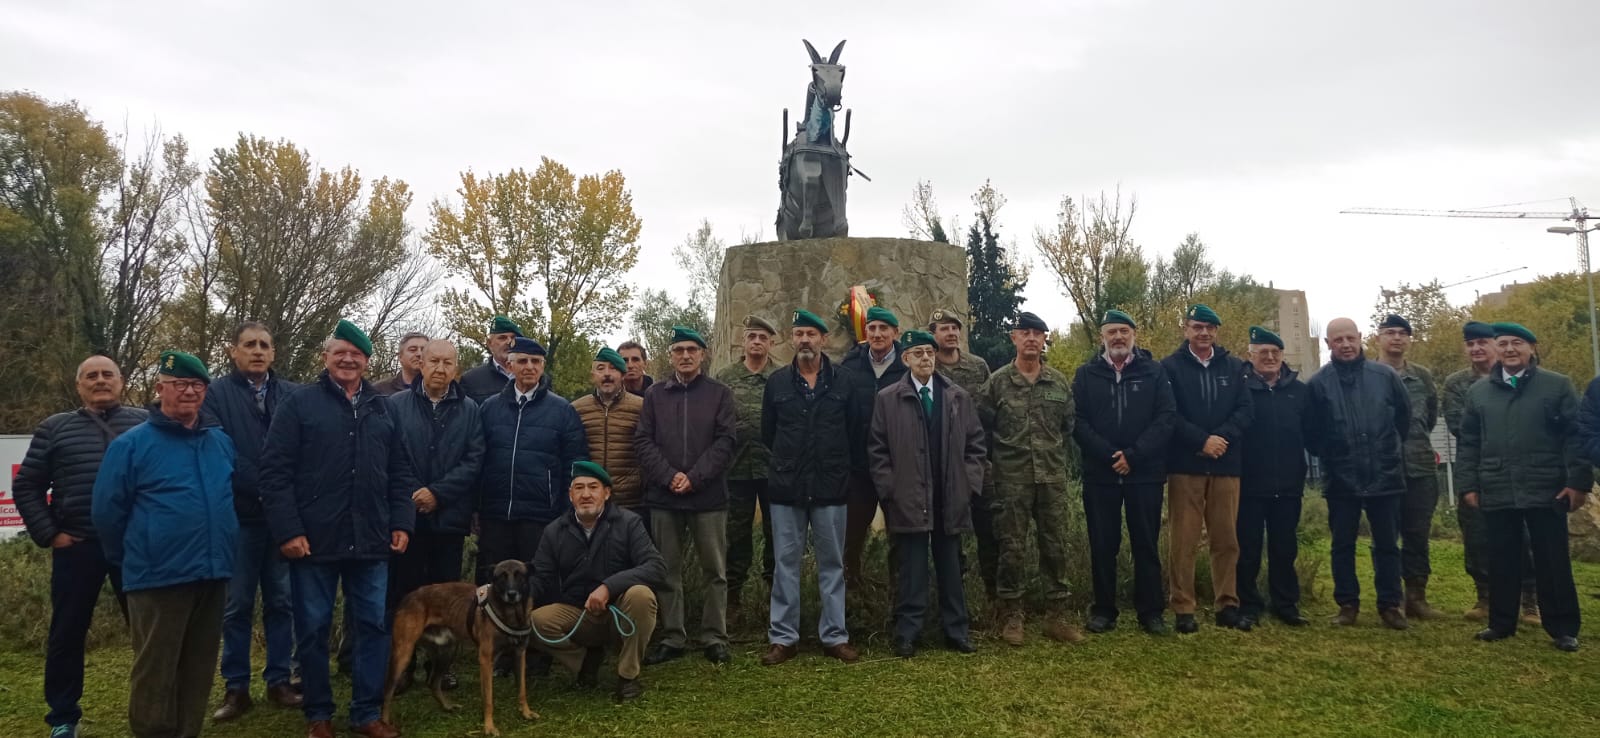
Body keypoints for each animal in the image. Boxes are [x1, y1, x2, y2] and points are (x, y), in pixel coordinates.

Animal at [380, 560, 537, 733]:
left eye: (519, 575)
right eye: (501, 577)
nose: (512, 594)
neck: (511, 614)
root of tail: (407, 597)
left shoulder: (520, 655)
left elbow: (522, 689)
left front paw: (526, 713)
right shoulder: (486, 660)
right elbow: (488, 699)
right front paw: (489, 726)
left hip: (448, 652)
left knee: (433, 683)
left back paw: (447, 706)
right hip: (404, 653)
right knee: (387, 691)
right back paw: (384, 723)